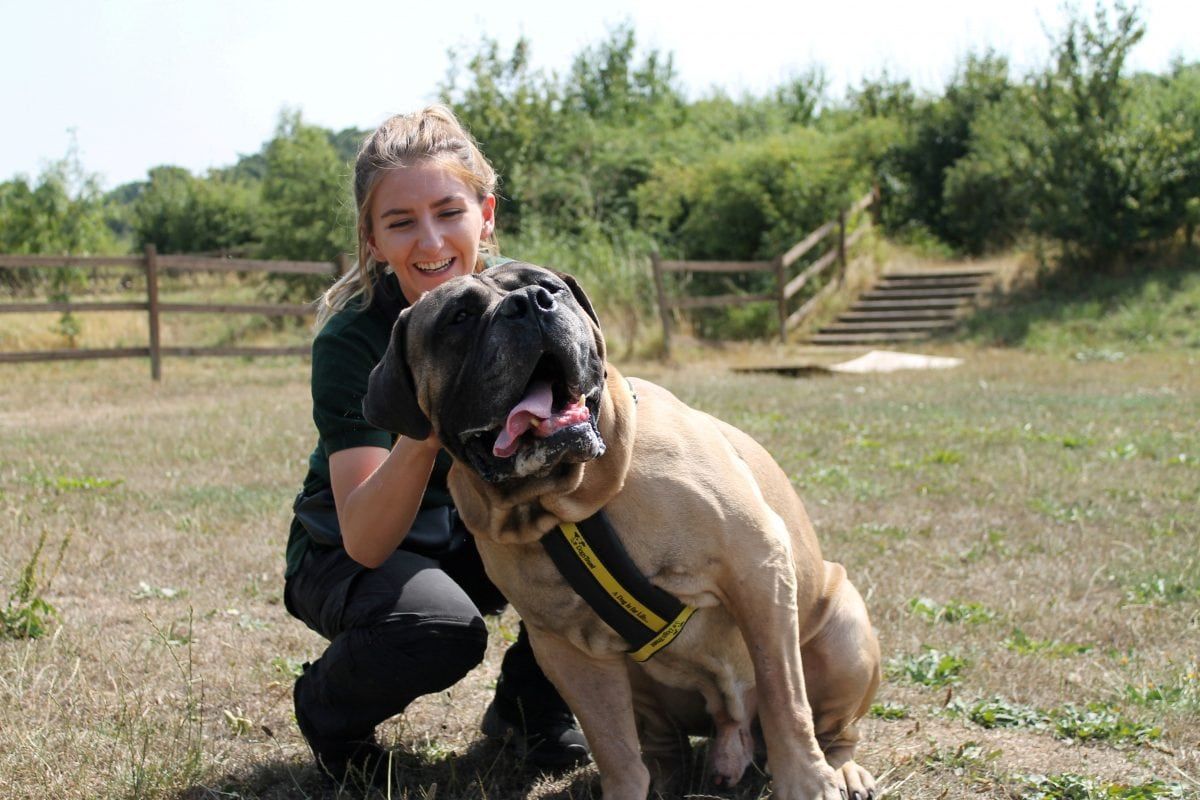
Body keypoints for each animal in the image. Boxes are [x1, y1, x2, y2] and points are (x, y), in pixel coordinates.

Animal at [362, 263, 883, 800]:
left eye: (552, 286)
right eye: (459, 316)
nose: (531, 303)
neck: (564, 503)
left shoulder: (756, 566)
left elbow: (785, 699)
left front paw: (807, 782)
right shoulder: (567, 650)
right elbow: (613, 748)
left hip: (845, 634)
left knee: (833, 727)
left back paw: (842, 769)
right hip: (643, 684)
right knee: (658, 743)